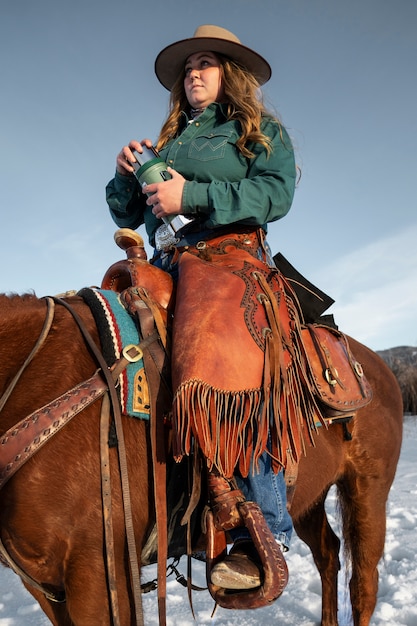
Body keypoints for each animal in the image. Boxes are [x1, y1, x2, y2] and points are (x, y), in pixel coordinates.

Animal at [0, 288, 404, 624]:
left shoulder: (97, 571)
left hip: (367, 491)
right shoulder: (45, 584)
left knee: (363, 585)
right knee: (328, 553)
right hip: (309, 499)